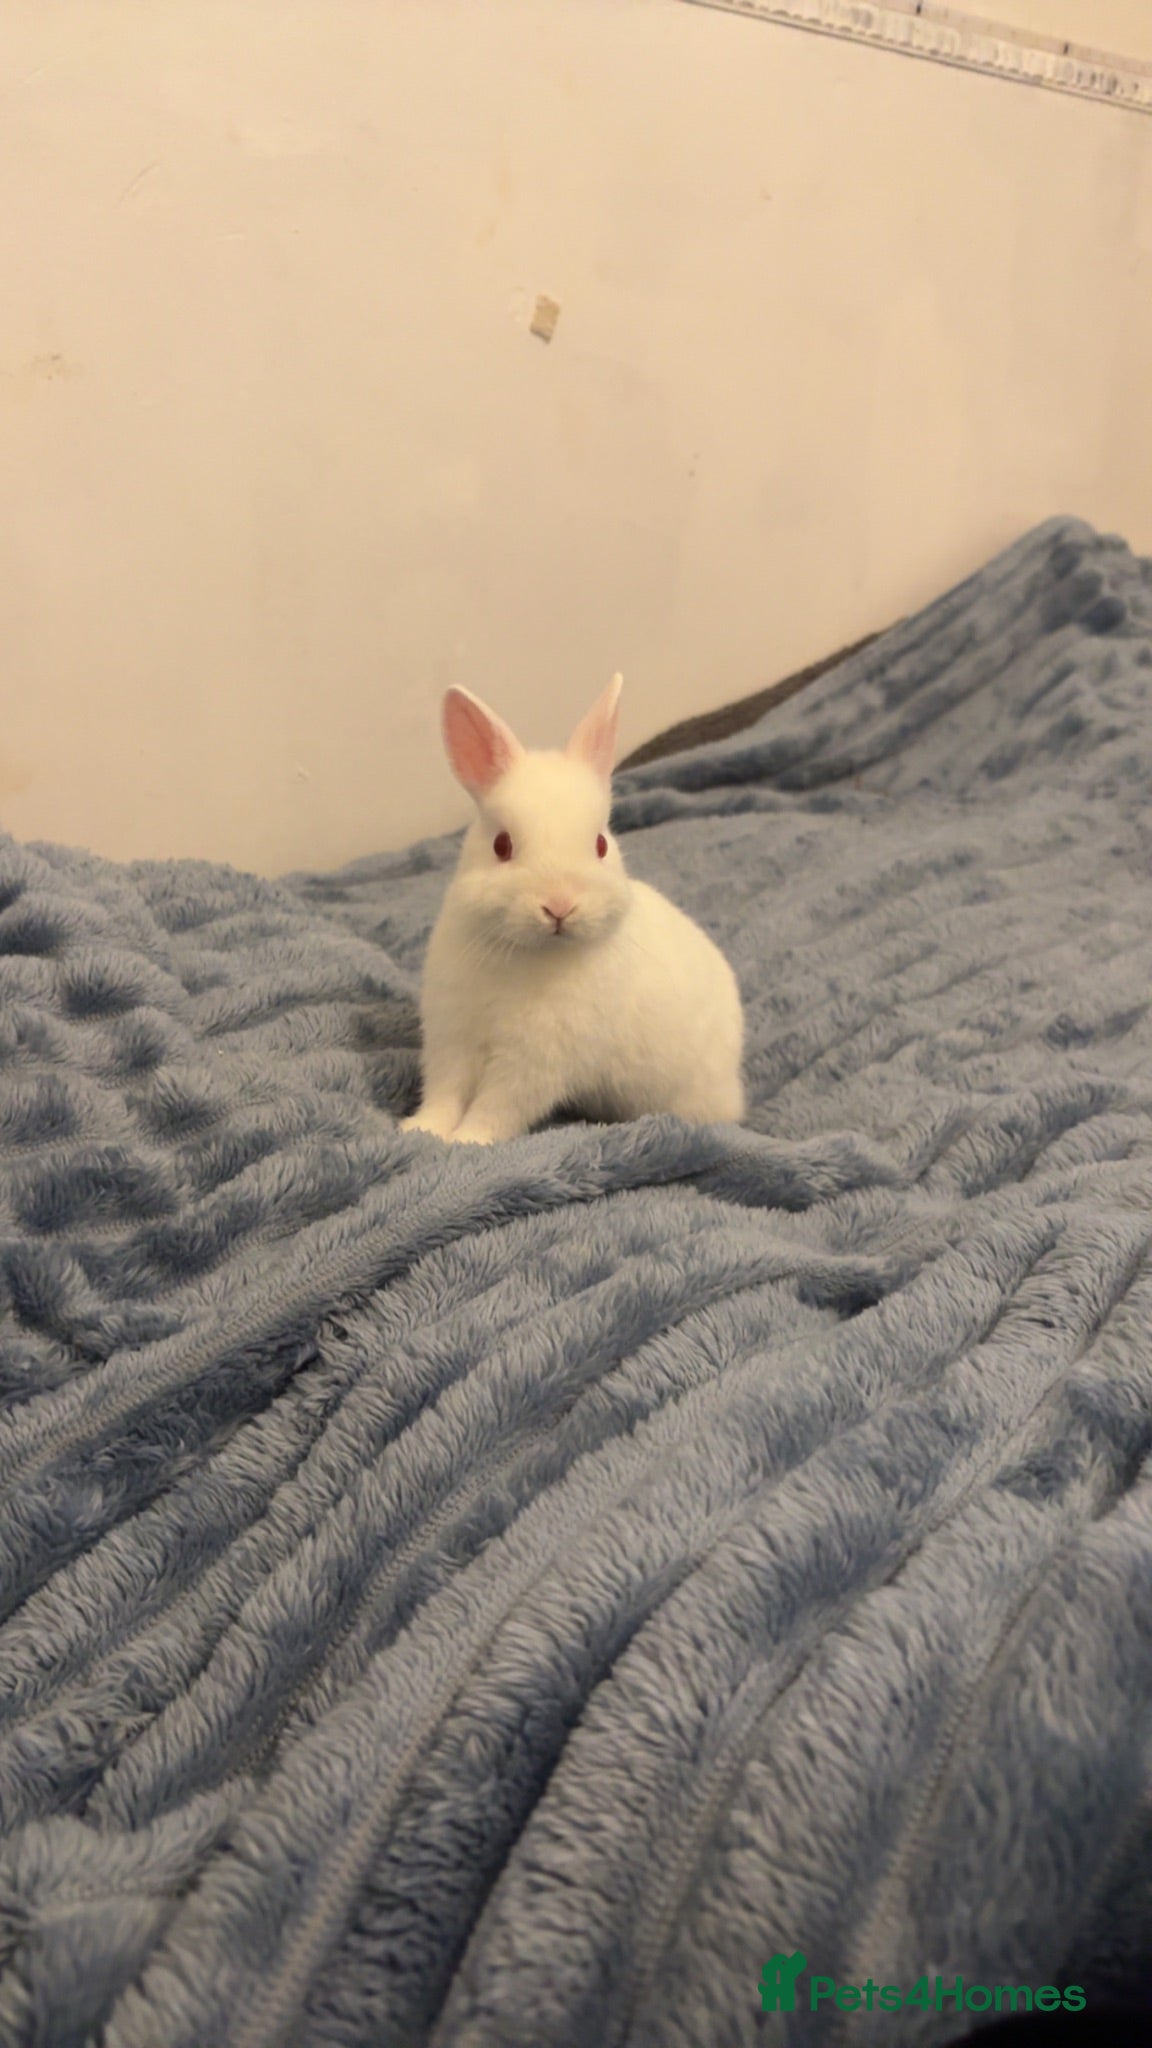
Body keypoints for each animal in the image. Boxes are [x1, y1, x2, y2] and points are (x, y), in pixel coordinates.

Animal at [401, 674, 745, 1145]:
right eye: (502, 845)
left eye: (600, 844)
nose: (559, 906)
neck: (525, 955)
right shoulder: (452, 1039)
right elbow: (444, 1094)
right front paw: (419, 1130)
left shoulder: (533, 1065)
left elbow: (495, 1109)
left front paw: (466, 1141)